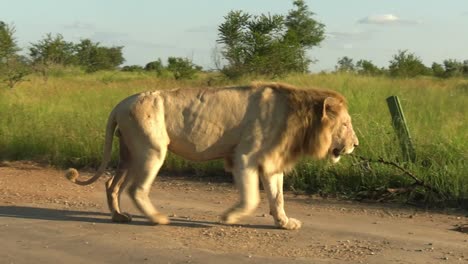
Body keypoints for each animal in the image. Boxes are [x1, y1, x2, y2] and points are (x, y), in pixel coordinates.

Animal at [65, 81, 358, 230]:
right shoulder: (245, 157)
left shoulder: (272, 162)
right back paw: (157, 219)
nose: (356, 144)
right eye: (345, 124)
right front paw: (229, 218)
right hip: (151, 149)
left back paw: (118, 216)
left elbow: (278, 197)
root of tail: (119, 104)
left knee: (111, 184)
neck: (299, 116)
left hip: (128, 152)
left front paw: (285, 223)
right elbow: (251, 198)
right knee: (136, 188)